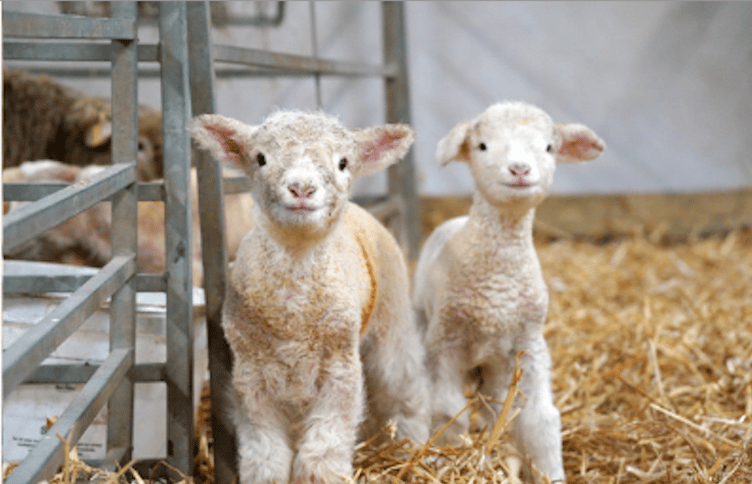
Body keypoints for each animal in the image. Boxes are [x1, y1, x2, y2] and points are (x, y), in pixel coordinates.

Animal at [190, 110, 430, 484]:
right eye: (261, 158)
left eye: (343, 162)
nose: (301, 189)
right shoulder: (251, 378)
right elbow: (266, 455)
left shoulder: (340, 371)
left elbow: (324, 450)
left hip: (391, 322)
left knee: (406, 387)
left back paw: (412, 445)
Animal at [413, 101, 605, 483]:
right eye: (482, 146)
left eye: (549, 147)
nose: (519, 169)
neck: (499, 281)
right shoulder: (445, 345)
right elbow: (448, 412)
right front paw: (449, 459)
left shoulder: (528, 346)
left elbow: (541, 420)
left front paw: (550, 473)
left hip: (498, 366)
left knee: (493, 403)